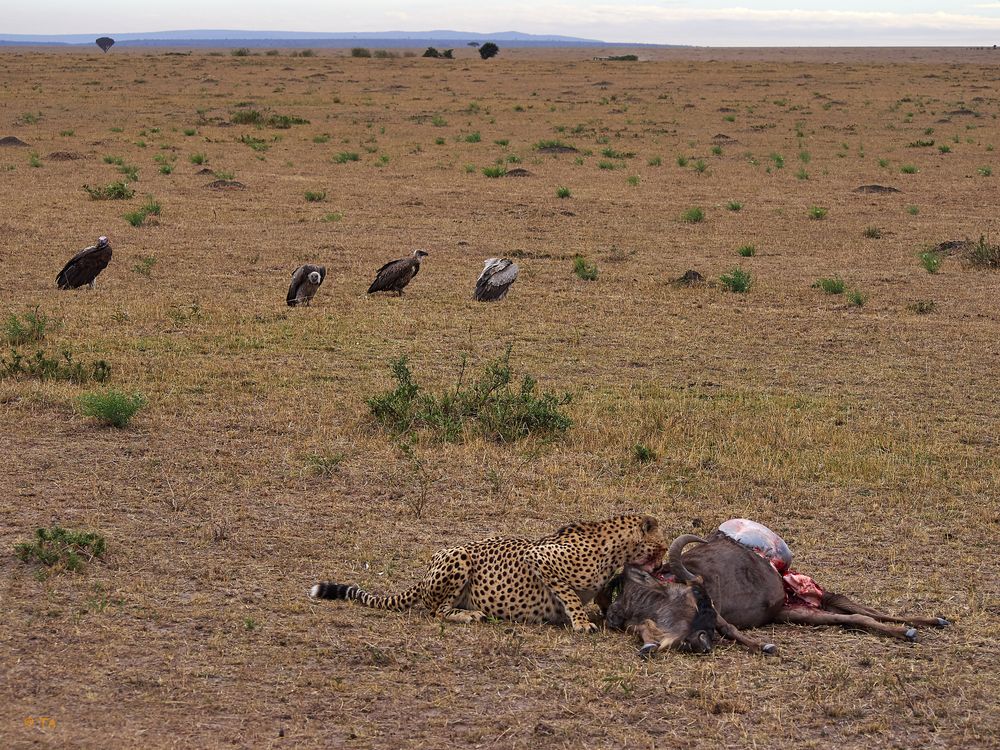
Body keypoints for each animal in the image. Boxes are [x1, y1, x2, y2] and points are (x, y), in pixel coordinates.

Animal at [306, 516, 664, 632]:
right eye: (661, 546)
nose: (662, 567)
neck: (613, 548)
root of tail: (425, 572)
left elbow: (600, 593)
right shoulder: (540, 558)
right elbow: (569, 595)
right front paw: (581, 622)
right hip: (460, 558)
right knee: (436, 611)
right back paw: (470, 615)